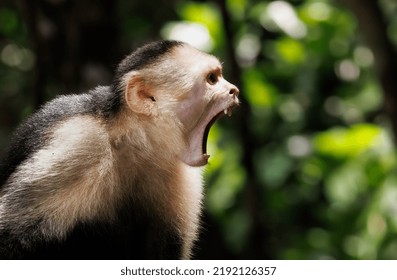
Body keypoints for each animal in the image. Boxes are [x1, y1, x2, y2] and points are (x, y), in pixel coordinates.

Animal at [0, 40, 238, 260]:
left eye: (219, 76)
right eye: (212, 79)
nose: (234, 90)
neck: (134, 143)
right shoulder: (79, 144)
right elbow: (10, 236)